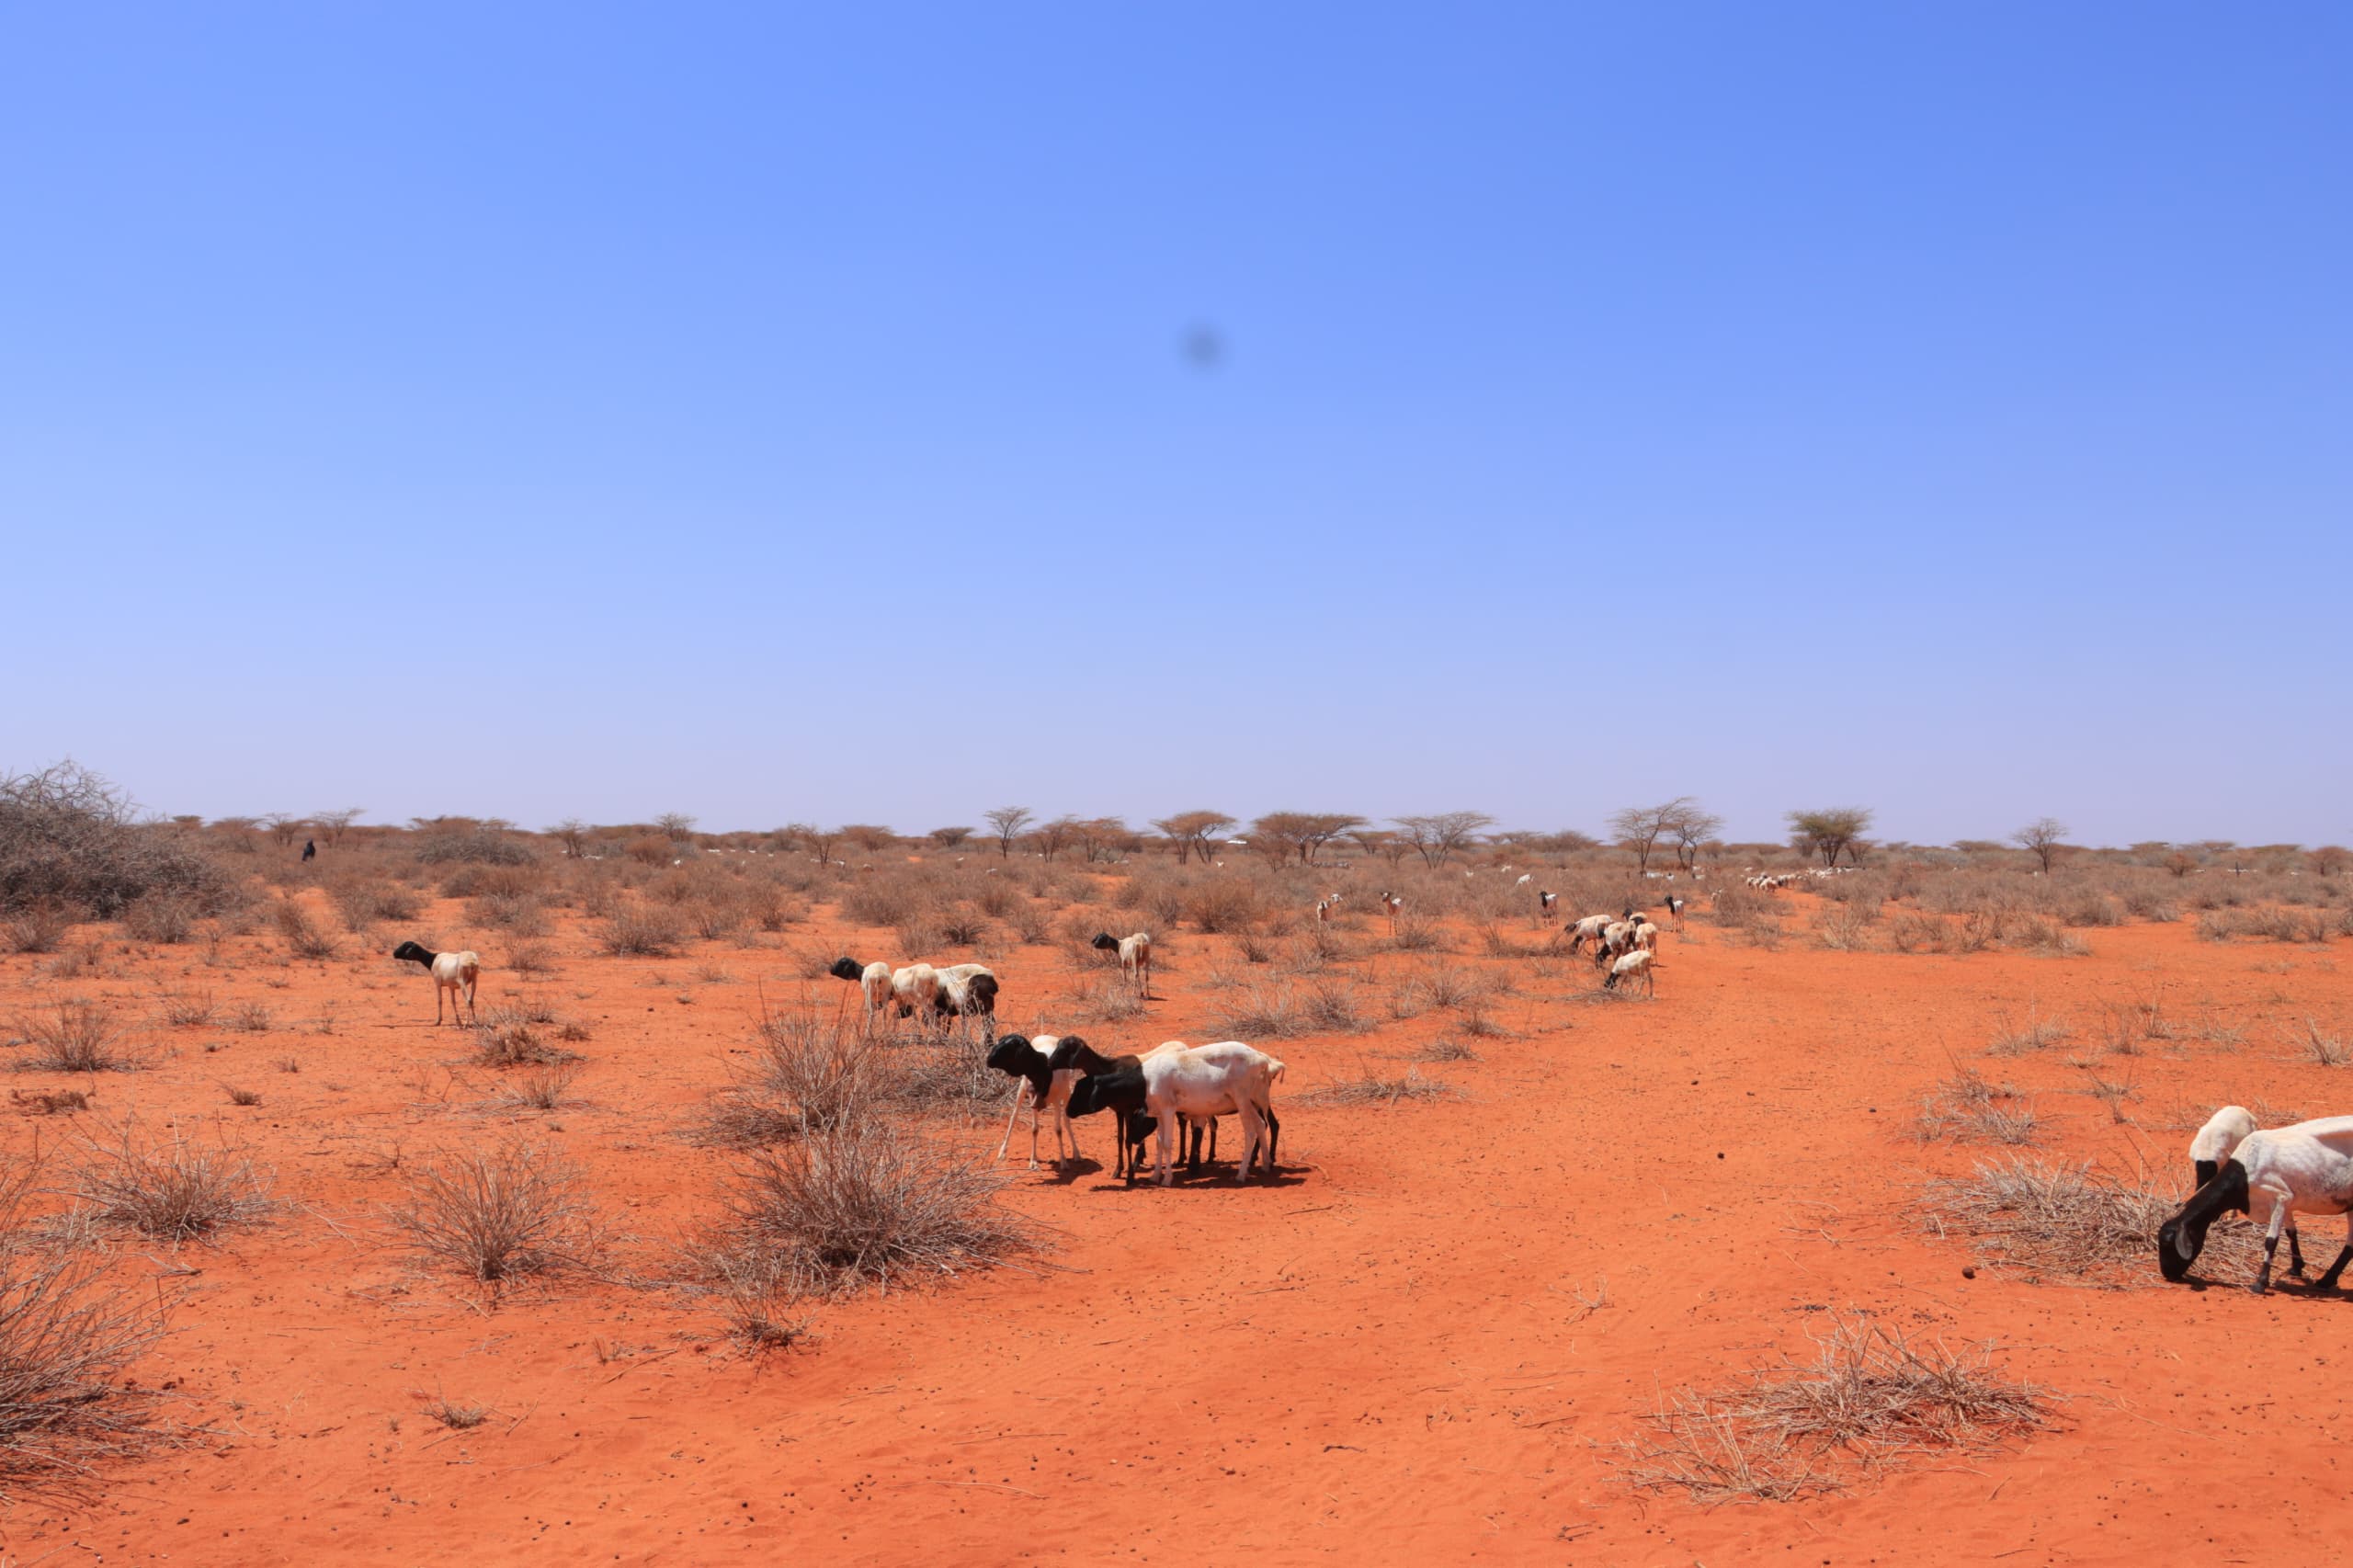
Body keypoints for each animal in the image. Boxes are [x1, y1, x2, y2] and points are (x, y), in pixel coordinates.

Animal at [985, 1034, 1084, 1169]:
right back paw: (1002, 1152)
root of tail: (1046, 1036)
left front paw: (1063, 1161)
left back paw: (1076, 1154)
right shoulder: (1033, 1099)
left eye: (1009, 1047)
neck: (1043, 1071)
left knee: (1067, 1122)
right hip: (1022, 1089)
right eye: (1000, 1042)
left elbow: (1058, 1130)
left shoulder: (1057, 1100)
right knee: (1014, 1117)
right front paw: (1033, 1161)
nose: (988, 1060)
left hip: (1066, 1093)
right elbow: (1034, 1129)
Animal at [2160, 1116, 2353, 1293]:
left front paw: (2260, 1283)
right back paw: (2327, 1280)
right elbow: (2291, 1232)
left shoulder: (2280, 1197)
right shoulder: (2286, 1201)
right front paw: (2296, 1268)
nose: (2168, 1275)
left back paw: (2326, 1280)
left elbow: (2271, 1241)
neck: (2244, 1173)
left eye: (2168, 1244)